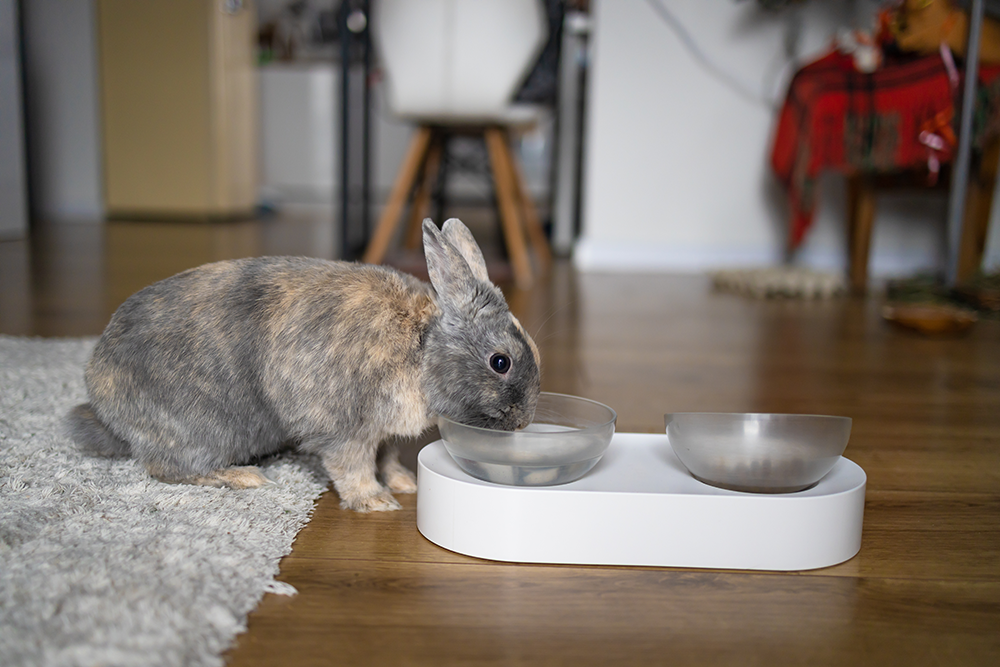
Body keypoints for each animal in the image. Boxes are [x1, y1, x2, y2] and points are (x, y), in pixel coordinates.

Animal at [66, 218, 541, 512]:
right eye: (500, 362)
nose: (523, 422)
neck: (422, 346)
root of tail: (100, 397)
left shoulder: (383, 433)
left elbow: (387, 458)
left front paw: (404, 482)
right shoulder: (347, 430)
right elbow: (354, 467)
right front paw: (375, 502)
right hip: (201, 431)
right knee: (164, 468)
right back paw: (243, 478)